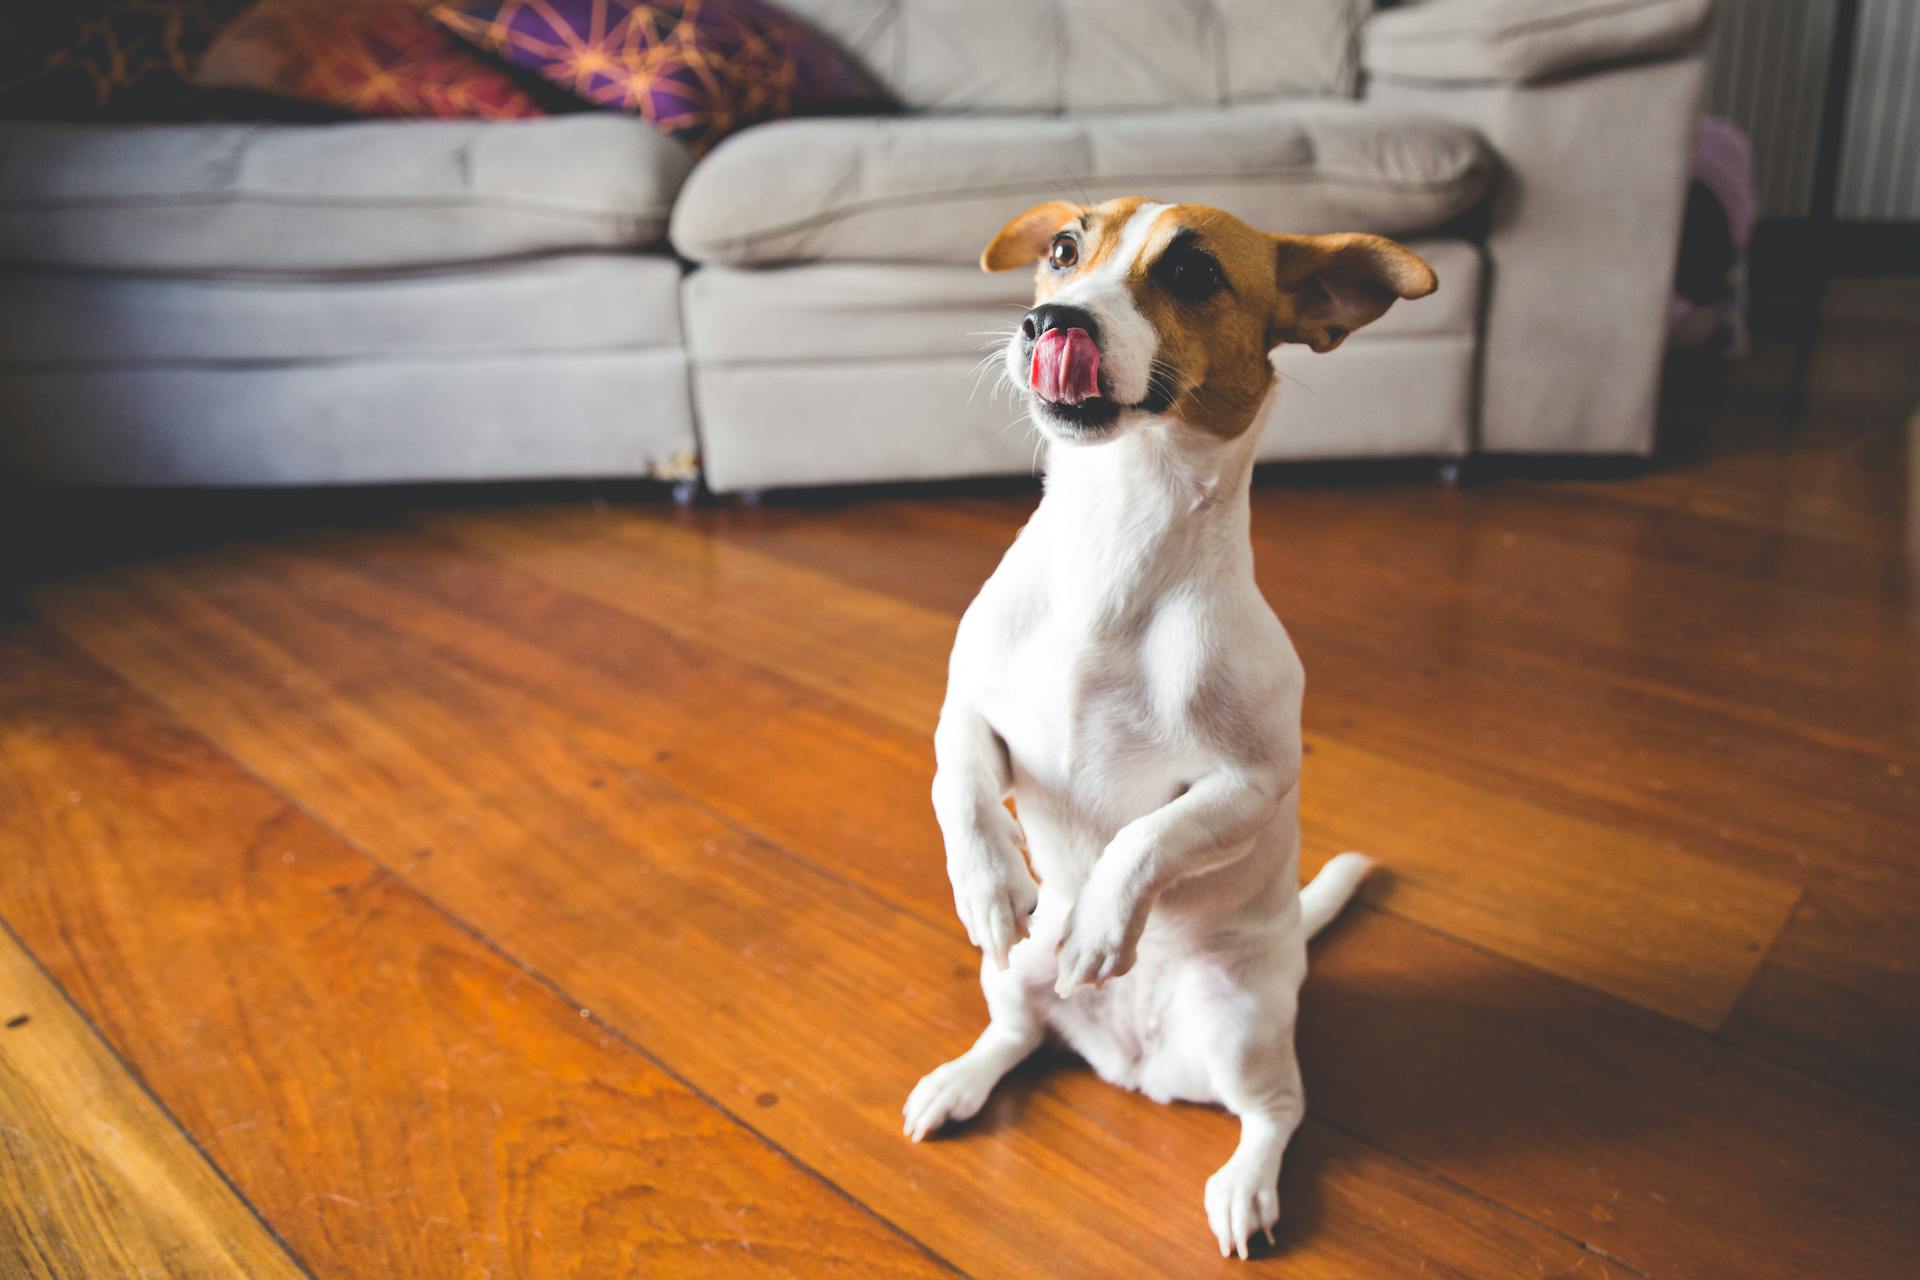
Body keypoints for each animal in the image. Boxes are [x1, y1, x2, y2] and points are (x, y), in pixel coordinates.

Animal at [906, 200, 1436, 1258]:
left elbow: (1147, 840)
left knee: (1278, 1109)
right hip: (1015, 976)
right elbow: (961, 785)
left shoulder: (1248, 783)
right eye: (1064, 250)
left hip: (1240, 1023)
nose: (1051, 321)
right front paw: (987, 883)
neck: (1114, 539)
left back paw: (1245, 1187)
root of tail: (1131, 1061)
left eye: (1193, 271)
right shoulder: (971, 710)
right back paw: (959, 1079)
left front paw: (1106, 922)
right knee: (1016, 1034)